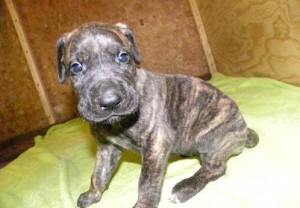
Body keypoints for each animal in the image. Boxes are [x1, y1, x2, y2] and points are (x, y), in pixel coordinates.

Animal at [56, 22, 258, 207]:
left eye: (124, 57)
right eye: (75, 67)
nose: (110, 101)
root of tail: (244, 130)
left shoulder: (156, 144)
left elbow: (147, 181)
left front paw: (143, 204)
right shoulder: (107, 148)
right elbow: (99, 174)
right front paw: (92, 195)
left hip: (209, 138)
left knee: (216, 168)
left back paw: (184, 188)